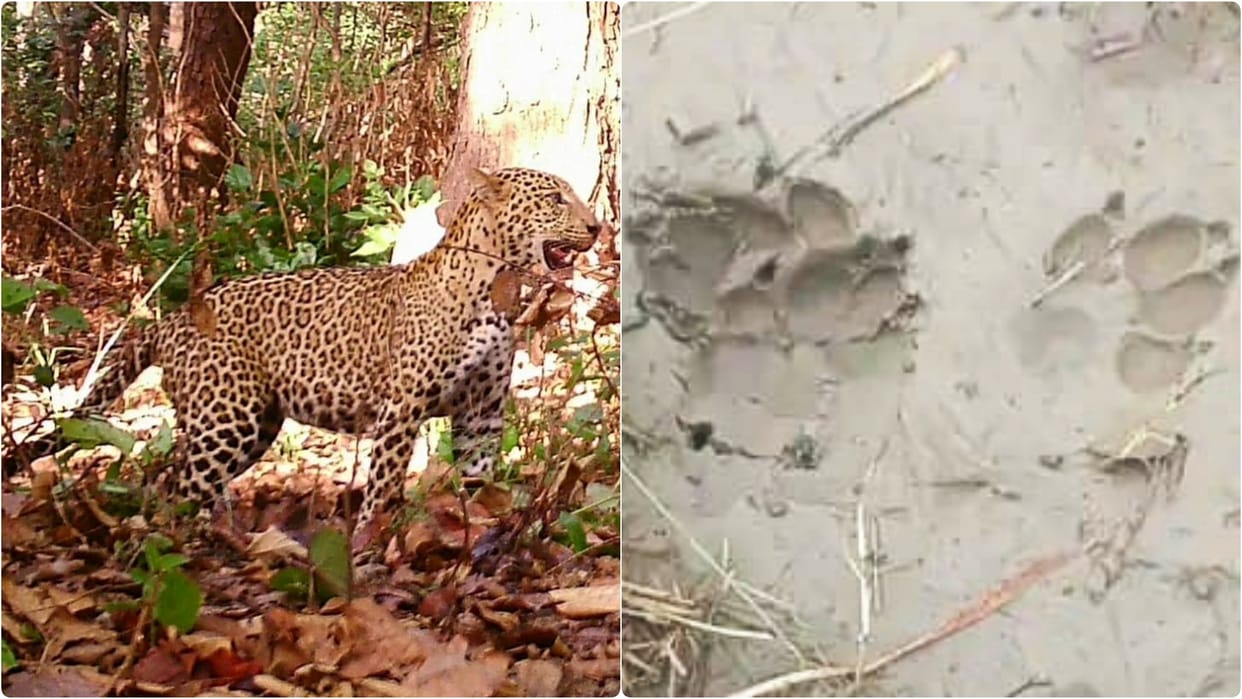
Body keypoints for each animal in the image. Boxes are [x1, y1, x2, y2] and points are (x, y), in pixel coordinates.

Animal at [49, 167, 602, 550]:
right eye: (555, 199)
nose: (597, 227)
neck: (497, 289)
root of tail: (174, 320)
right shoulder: (402, 410)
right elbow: (384, 483)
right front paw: (368, 542)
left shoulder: (481, 412)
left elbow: (478, 477)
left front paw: (481, 524)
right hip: (227, 417)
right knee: (182, 485)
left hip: (255, 422)